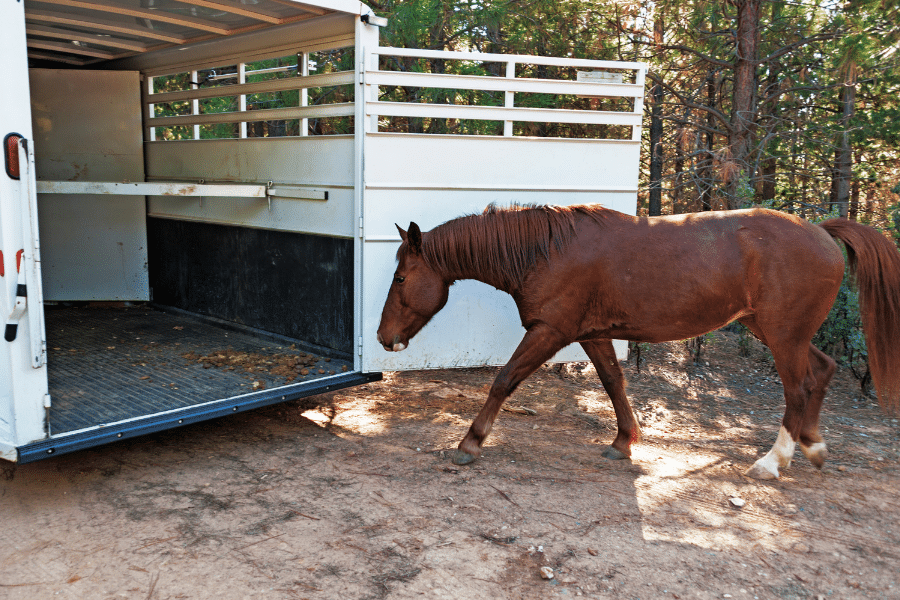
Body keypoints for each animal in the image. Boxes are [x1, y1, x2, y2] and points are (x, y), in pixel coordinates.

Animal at [374, 205, 900, 478]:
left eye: (400, 278)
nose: (383, 337)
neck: (546, 251)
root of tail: (823, 233)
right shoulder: (593, 335)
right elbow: (614, 383)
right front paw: (624, 441)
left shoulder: (549, 331)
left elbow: (503, 381)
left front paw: (470, 442)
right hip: (775, 330)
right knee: (823, 370)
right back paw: (814, 446)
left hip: (782, 335)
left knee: (798, 388)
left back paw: (774, 461)